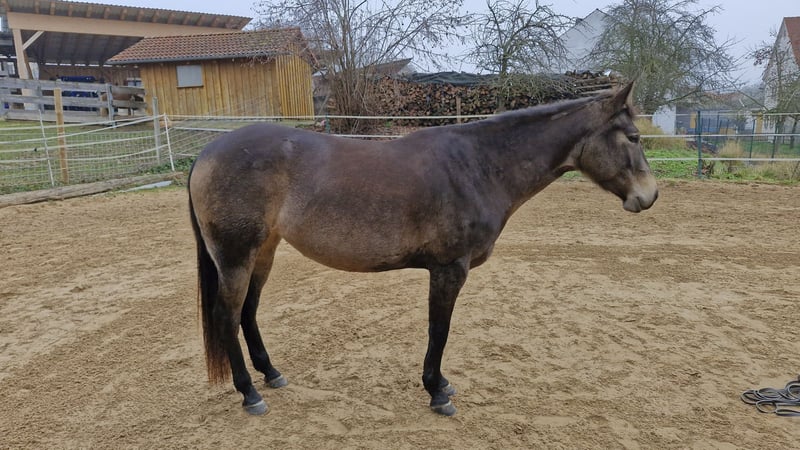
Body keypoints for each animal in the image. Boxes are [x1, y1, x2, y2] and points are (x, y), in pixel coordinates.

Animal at [187, 81, 657, 417]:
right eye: (633, 137)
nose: (650, 196)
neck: (478, 165)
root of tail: (208, 152)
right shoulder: (449, 269)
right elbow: (439, 330)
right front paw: (437, 392)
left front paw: (440, 385)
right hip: (235, 255)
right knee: (227, 316)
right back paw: (250, 394)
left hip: (262, 251)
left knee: (248, 312)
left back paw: (271, 374)